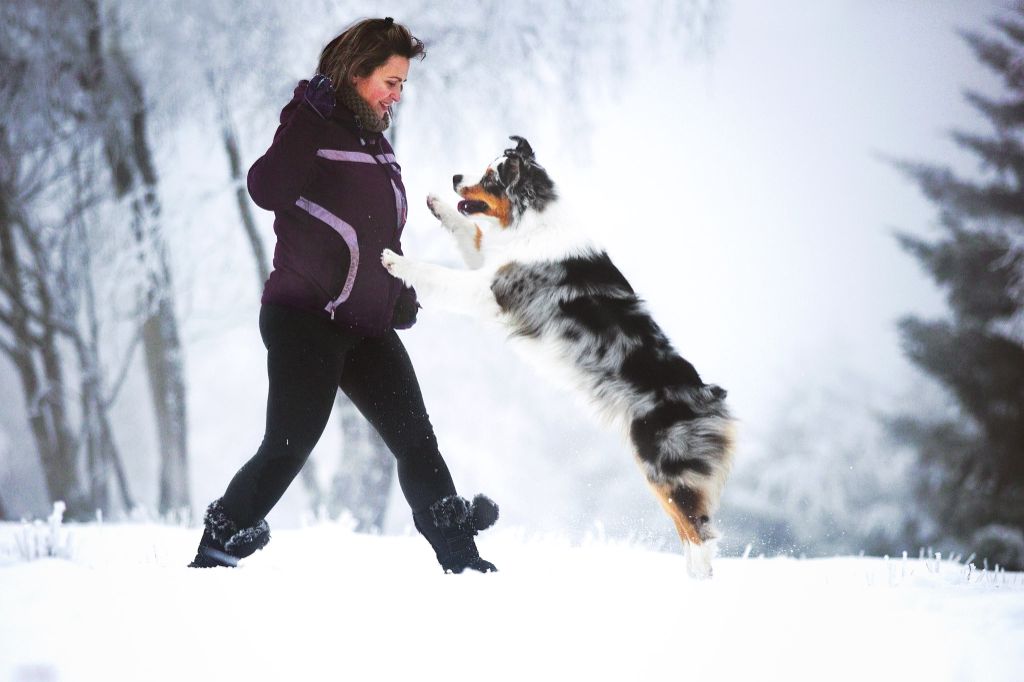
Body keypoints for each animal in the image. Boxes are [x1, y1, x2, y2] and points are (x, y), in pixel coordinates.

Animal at [380, 134, 733, 573]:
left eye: (490, 177)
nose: (455, 177)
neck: (533, 219)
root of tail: (708, 396)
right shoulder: (491, 264)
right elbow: (469, 232)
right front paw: (437, 204)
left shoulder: (490, 291)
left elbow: (439, 274)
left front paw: (396, 261)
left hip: (665, 469)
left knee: (699, 533)